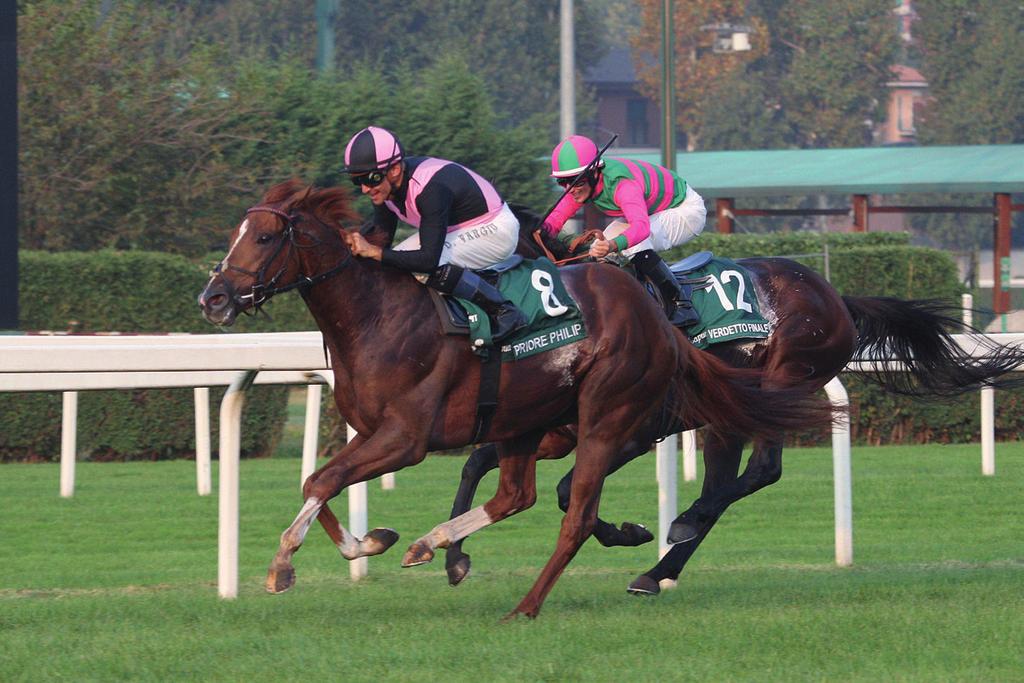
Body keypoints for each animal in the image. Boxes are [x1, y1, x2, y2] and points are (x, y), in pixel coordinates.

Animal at [197, 181, 831, 618]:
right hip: (551, 419)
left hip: (637, 415)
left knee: (622, 503)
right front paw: (380, 541)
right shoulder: (387, 432)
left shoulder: (406, 438)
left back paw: (556, 592)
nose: (214, 297)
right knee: (519, 495)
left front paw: (286, 562)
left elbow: (324, 481)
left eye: (263, 237)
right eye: (234, 236)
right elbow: (321, 484)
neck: (378, 315)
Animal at [442, 210, 1024, 593]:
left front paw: (630, 531)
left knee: (761, 471)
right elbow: (478, 464)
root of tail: (835, 295)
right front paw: (454, 557)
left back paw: (680, 528)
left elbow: (567, 492)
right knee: (724, 486)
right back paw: (660, 569)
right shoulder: (552, 433)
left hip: (784, 381)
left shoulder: (634, 431)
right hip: (726, 420)